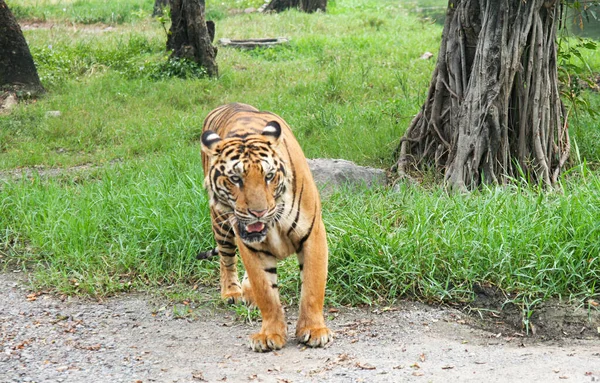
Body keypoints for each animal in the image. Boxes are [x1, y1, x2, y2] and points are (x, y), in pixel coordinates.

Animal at [200, 103, 332, 354]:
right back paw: (232, 292)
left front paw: (314, 331)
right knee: (226, 258)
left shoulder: (313, 234)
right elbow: (266, 293)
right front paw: (270, 335)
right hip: (220, 223)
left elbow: (312, 286)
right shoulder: (251, 247)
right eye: (235, 178)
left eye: (269, 176)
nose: (258, 212)